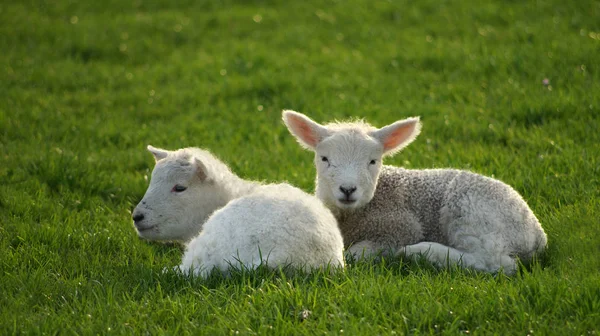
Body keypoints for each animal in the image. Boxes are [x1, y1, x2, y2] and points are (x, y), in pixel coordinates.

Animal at [282, 111, 548, 274]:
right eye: (324, 159)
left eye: (373, 161)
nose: (348, 189)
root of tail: (537, 235)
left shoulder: (400, 227)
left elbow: (356, 254)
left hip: (473, 213)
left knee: (495, 262)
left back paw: (420, 252)